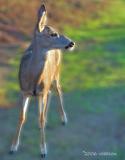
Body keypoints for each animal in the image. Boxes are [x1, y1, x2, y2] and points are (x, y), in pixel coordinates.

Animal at [9, 4, 74, 159]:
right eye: (53, 34)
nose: (71, 43)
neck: (32, 78)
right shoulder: (24, 91)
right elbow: (22, 117)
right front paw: (13, 147)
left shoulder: (41, 90)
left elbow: (42, 118)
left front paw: (43, 150)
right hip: (46, 85)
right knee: (49, 94)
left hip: (56, 73)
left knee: (58, 90)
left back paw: (64, 119)